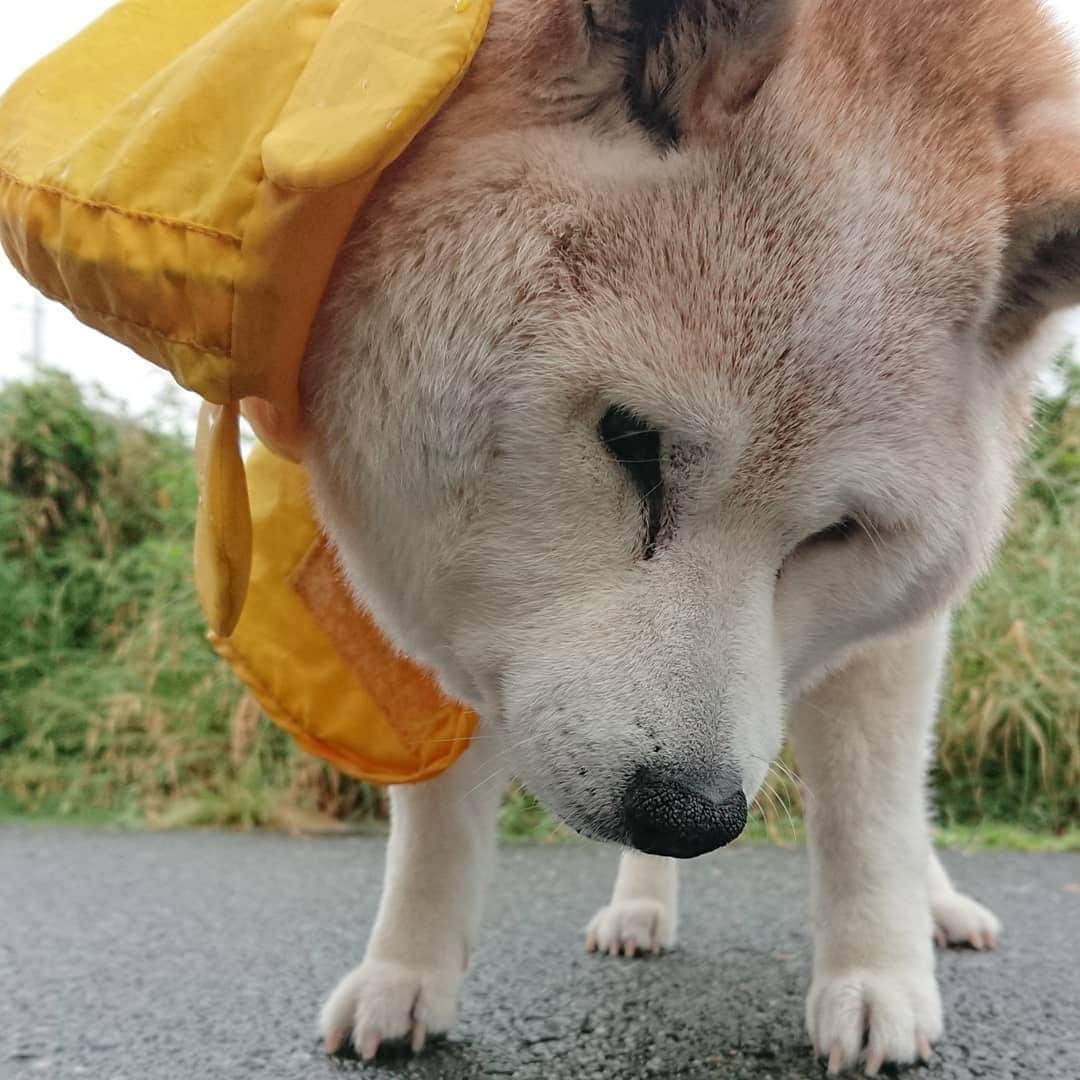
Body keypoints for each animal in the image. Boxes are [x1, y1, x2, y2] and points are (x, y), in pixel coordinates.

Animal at [298, 0, 1080, 1067]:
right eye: (635, 444)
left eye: (838, 533)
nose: (690, 817)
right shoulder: (431, 578)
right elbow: (432, 814)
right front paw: (405, 972)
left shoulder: (890, 641)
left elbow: (871, 817)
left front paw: (877, 975)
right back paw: (642, 908)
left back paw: (941, 910)